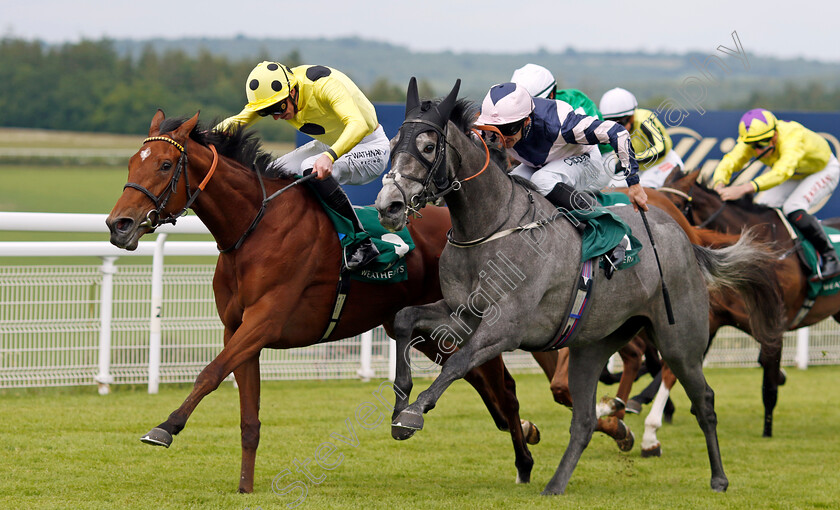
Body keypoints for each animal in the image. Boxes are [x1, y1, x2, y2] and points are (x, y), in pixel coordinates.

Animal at [105, 109, 540, 492]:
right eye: (131, 164)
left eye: (165, 165)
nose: (118, 225)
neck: (254, 228)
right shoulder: (238, 329)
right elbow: (249, 417)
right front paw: (245, 486)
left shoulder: (264, 322)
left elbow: (209, 374)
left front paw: (165, 427)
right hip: (429, 332)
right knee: (484, 384)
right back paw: (522, 435)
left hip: (461, 320)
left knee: (504, 389)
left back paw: (524, 462)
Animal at [376, 79, 788, 494]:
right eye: (392, 144)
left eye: (429, 146)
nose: (388, 205)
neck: (492, 226)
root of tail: (685, 237)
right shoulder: (462, 313)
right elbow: (405, 319)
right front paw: (399, 402)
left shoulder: (505, 326)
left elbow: (458, 362)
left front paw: (412, 414)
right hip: (593, 345)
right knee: (585, 420)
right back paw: (556, 484)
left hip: (679, 339)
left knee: (703, 400)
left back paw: (717, 477)